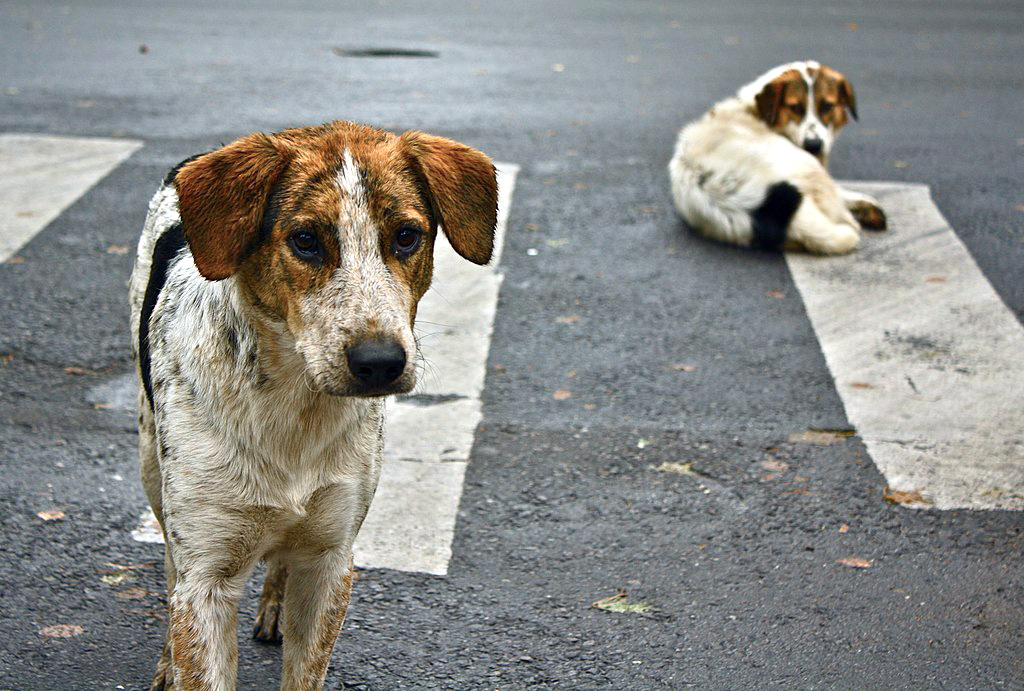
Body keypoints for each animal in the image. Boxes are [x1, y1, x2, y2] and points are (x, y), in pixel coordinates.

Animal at [130, 121, 497, 687]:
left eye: (406, 236)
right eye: (305, 241)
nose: (379, 363)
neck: (294, 408)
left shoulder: (331, 561)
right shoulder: (207, 576)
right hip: (151, 460)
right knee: (170, 560)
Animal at [667, 60, 884, 255]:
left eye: (827, 107)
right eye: (795, 108)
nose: (813, 145)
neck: (756, 111)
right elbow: (844, 193)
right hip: (809, 168)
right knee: (846, 220)